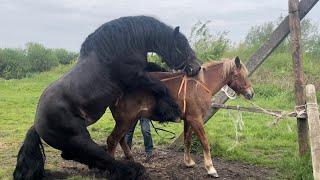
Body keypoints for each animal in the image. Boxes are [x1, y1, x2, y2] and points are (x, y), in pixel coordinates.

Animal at [15, 15, 201, 180]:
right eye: (182, 46)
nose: (196, 68)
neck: (121, 47)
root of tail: (36, 124)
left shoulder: (144, 69)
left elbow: (159, 70)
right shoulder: (135, 77)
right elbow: (159, 86)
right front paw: (171, 111)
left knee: (71, 155)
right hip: (80, 139)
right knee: (100, 155)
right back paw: (133, 170)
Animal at [109, 57, 254, 177]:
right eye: (241, 75)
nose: (251, 93)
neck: (200, 85)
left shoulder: (189, 120)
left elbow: (187, 140)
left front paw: (188, 162)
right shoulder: (196, 119)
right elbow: (205, 142)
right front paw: (210, 168)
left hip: (128, 120)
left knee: (121, 140)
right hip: (125, 120)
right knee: (112, 141)